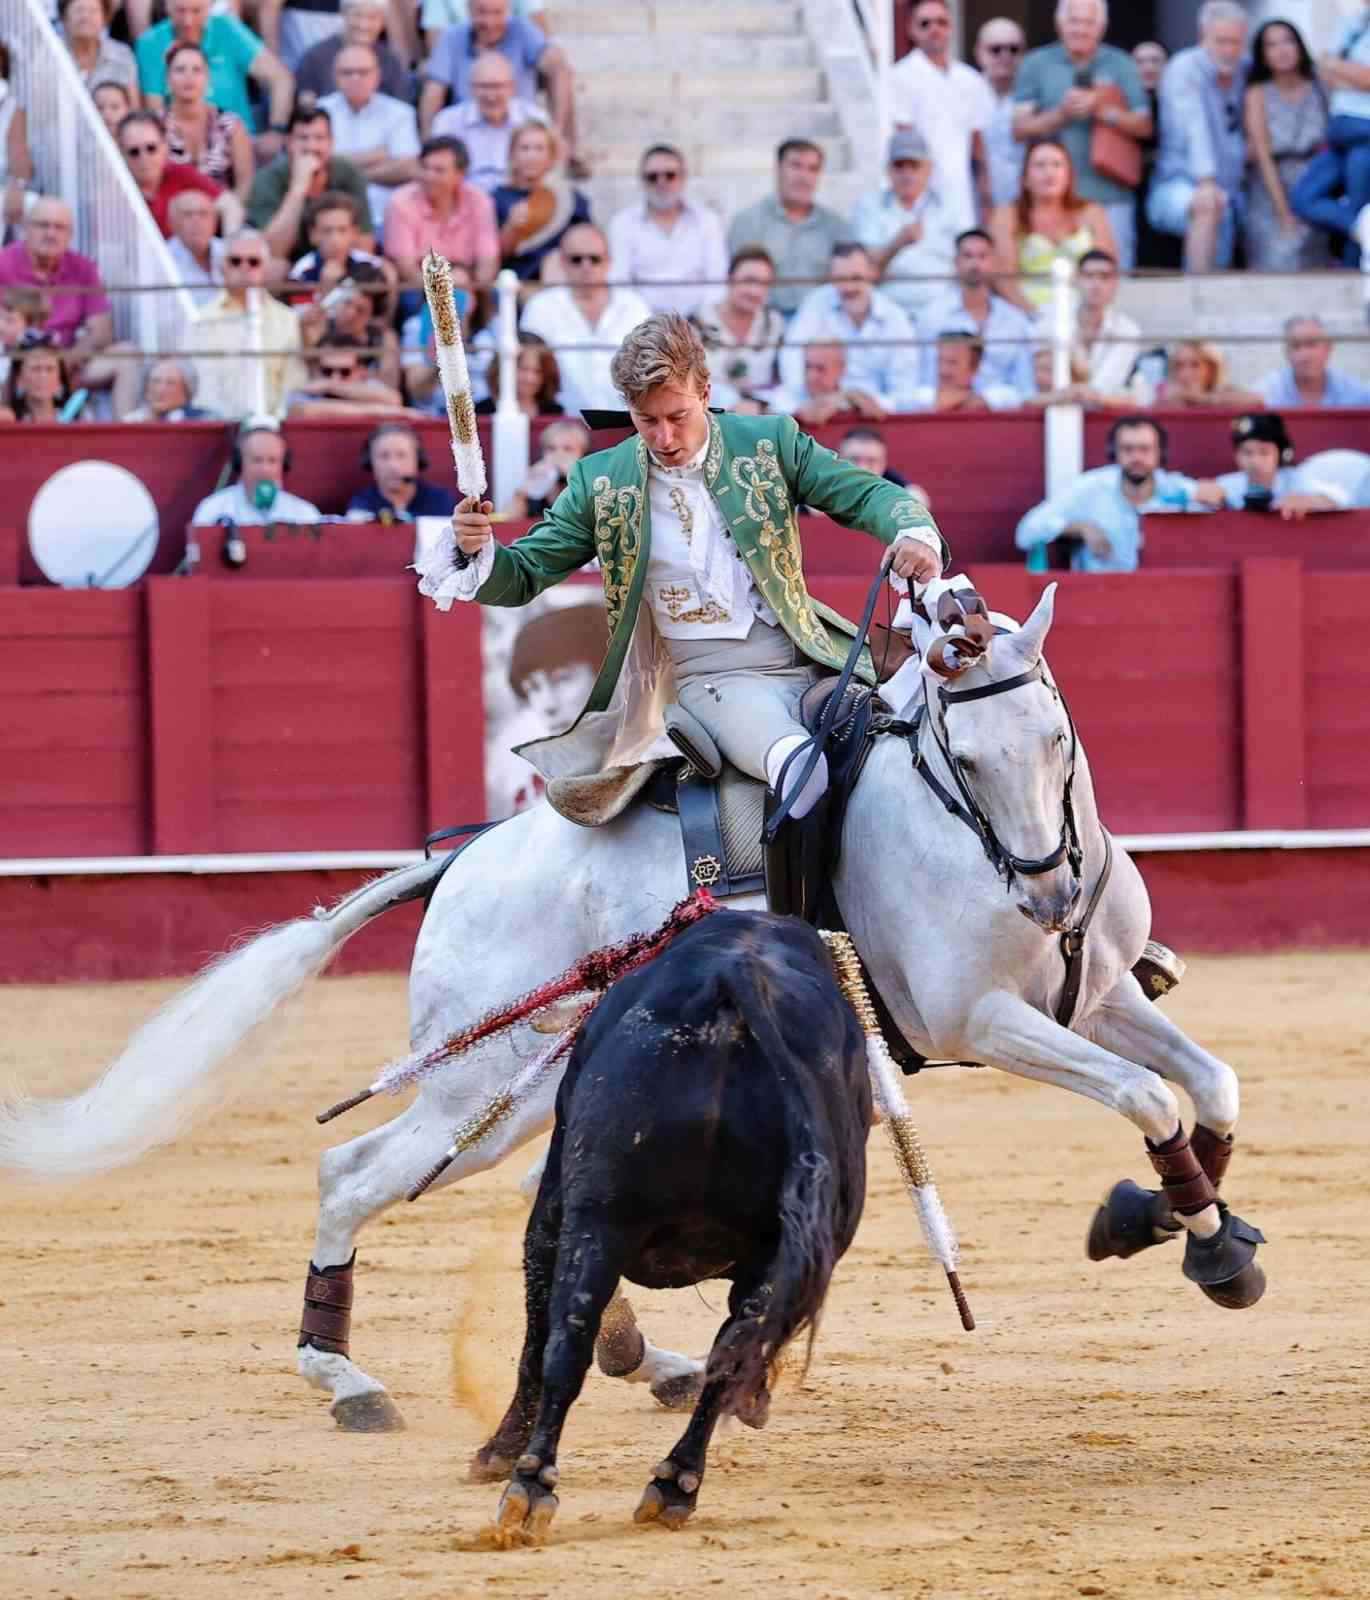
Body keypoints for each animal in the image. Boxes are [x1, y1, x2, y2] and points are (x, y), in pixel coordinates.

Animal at [0, 583, 1267, 1433]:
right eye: (964, 752)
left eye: (1053, 737)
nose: (1046, 892)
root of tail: (463, 858)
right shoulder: (980, 1021)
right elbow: (1148, 1093)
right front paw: (1196, 1242)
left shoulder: (1094, 997)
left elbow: (1205, 1082)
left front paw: (1180, 1222)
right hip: (478, 1086)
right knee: (353, 1172)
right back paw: (344, 1376)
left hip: (546, 1081)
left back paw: (636, 1355)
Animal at [469, 911, 873, 1539]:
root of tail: (738, 980)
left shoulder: (553, 1211)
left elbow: (536, 1333)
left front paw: (498, 1451)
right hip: (775, 1248)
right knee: (728, 1356)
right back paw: (674, 1485)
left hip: (596, 1221)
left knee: (565, 1342)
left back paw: (530, 1486)